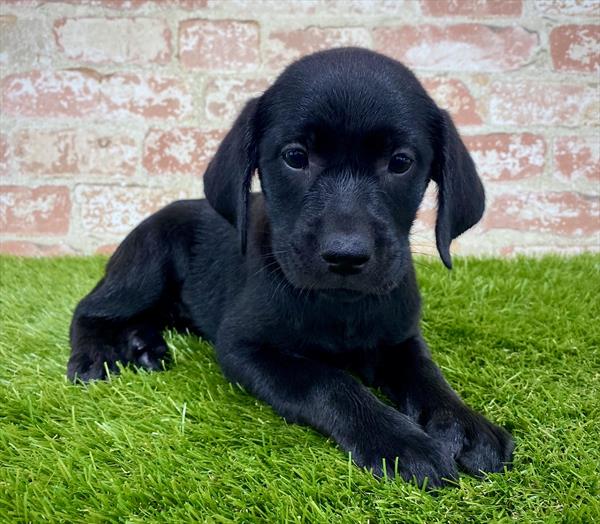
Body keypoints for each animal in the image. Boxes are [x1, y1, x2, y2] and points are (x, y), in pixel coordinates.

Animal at [68, 47, 512, 490]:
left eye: (400, 163)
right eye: (295, 158)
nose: (346, 254)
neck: (341, 307)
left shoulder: (400, 337)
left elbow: (425, 374)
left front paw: (465, 424)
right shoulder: (245, 348)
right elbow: (328, 381)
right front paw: (401, 441)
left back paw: (144, 345)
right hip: (147, 263)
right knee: (90, 308)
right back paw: (95, 356)